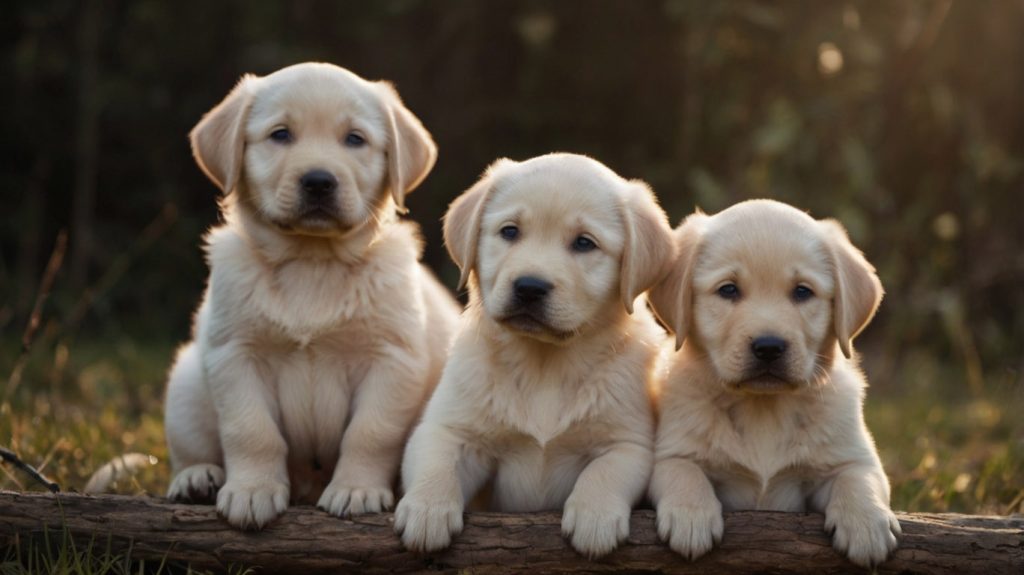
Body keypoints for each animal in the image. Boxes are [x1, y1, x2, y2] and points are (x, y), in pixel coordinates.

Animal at [166, 63, 460, 527]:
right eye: (281, 134)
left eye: (355, 139)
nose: (319, 181)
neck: (312, 262)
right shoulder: (235, 353)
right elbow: (250, 430)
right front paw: (252, 490)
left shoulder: (392, 359)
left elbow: (369, 433)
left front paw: (356, 490)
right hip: (187, 382)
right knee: (191, 448)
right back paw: (196, 478)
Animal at [395, 152, 675, 556]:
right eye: (510, 232)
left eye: (584, 243)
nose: (529, 287)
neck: (545, 364)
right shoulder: (450, 428)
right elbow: (437, 459)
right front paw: (426, 509)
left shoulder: (629, 442)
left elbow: (605, 471)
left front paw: (595, 518)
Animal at [647, 199, 897, 564]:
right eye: (728, 289)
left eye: (803, 292)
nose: (769, 347)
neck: (763, 407)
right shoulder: (671, 451)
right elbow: (682, 470)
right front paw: (690, 517)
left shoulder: (853, 456)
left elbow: (857, 478)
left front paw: (867, 524)